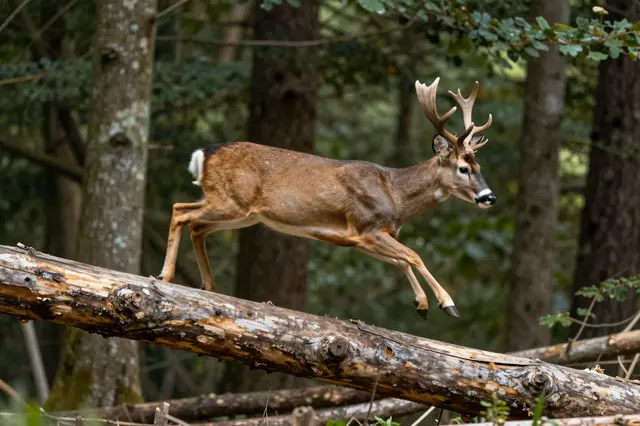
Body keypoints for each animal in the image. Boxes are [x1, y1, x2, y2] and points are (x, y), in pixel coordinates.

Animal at [158, 77, 495, 320]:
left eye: (480, 167)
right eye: (463, 168)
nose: (489, 196)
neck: (396, 195)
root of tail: (203, 153)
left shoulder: (362, 238)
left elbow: (401, 261)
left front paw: (422, 304)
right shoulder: (366, 226)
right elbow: (413, 255)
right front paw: (447, 303)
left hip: (241, 213)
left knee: (196, 225)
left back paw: (209, 285)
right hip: (231, 201)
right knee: (180, 210)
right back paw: (166, 275)